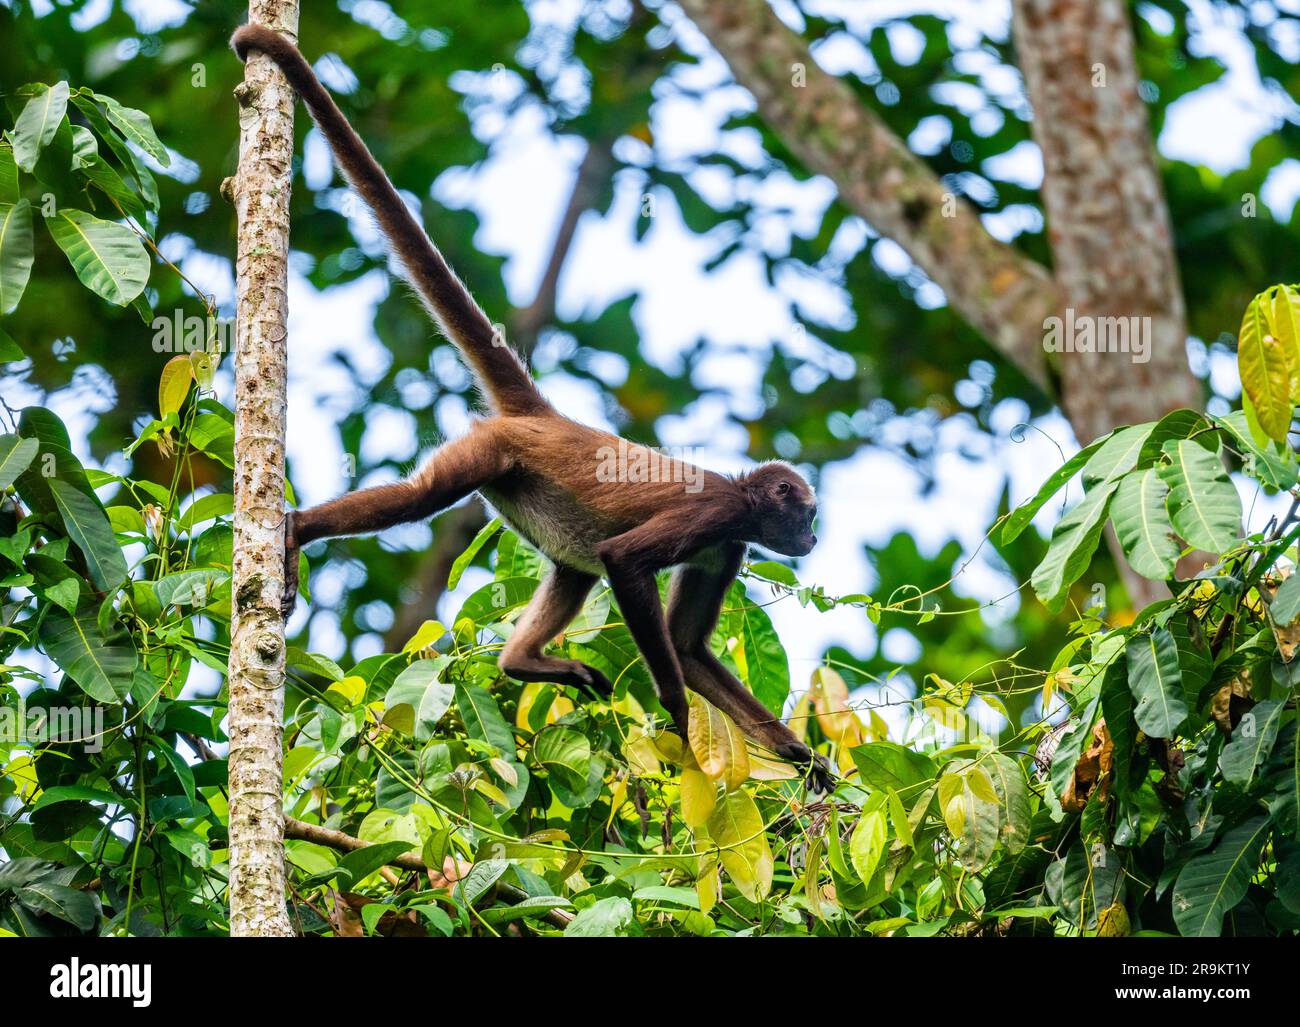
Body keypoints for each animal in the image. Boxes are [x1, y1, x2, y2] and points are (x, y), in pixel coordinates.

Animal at [231, 26, 832, 795]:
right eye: (807, 513)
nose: (811, 539)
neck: (740, 496)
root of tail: (545, 416)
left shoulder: (727, 546)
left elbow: (689, 646)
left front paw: (805, 760)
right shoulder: (719, 517)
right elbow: (626, 564)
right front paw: (674, 710)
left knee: (574, 568)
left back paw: (521, 662)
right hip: (489, 454)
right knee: (431, 498)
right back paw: (298, 528)